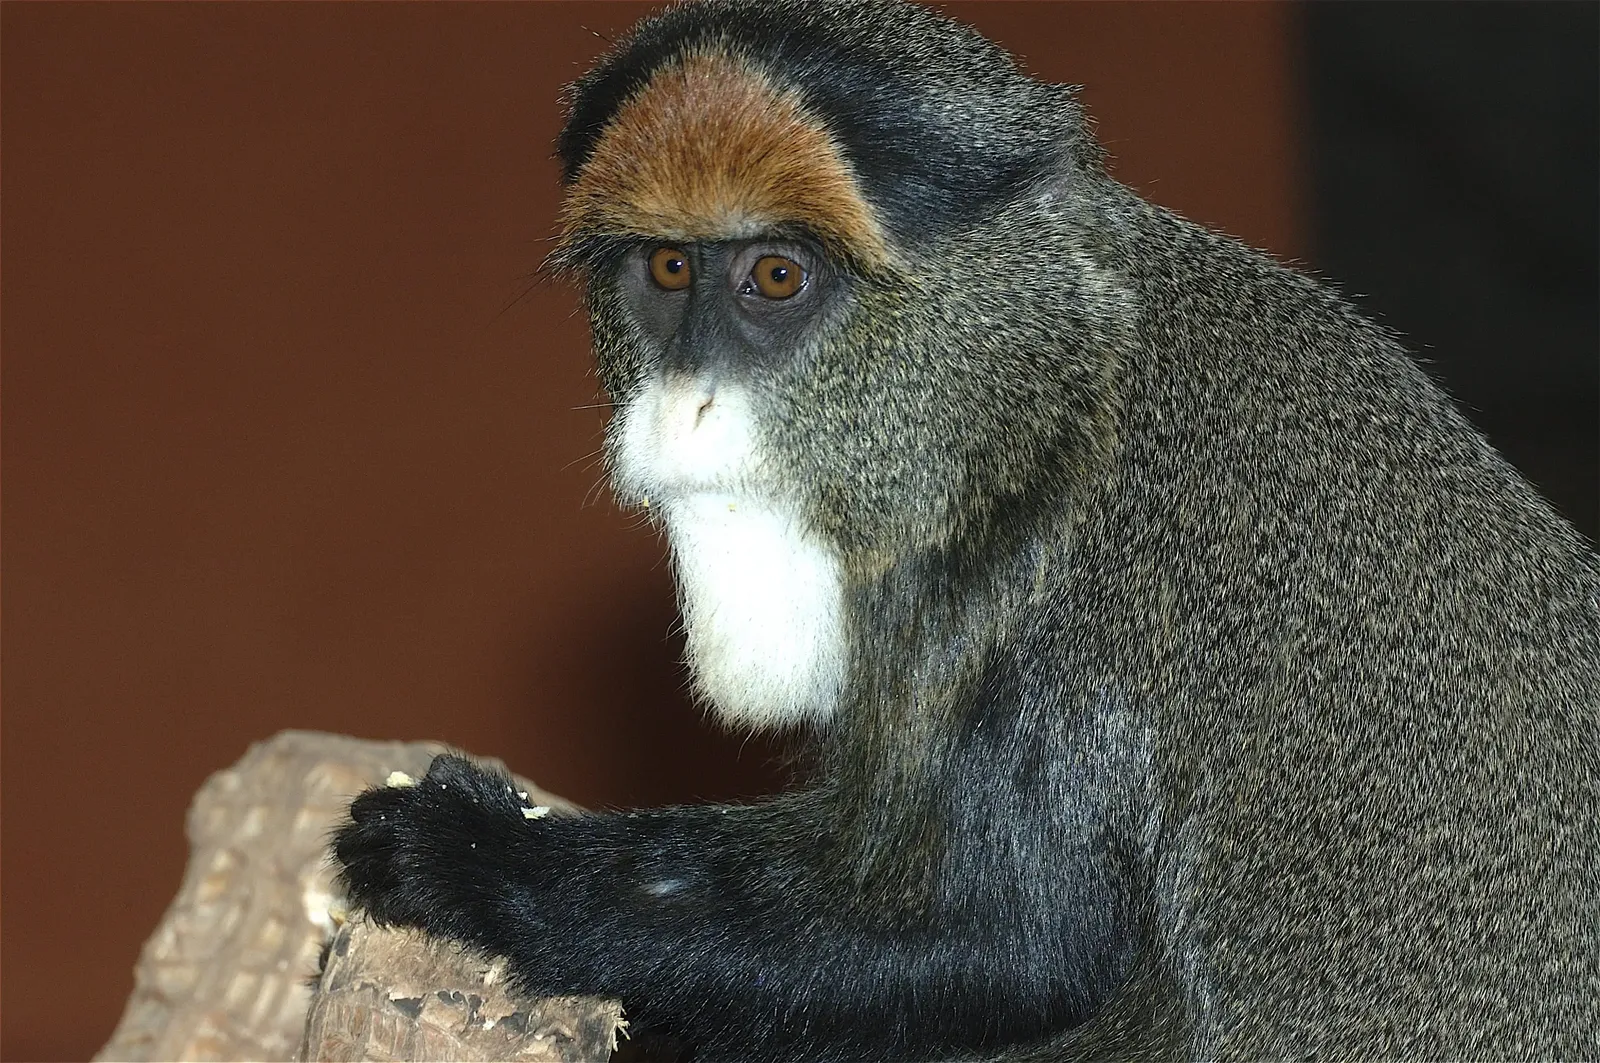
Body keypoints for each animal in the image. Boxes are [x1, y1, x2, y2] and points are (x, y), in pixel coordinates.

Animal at [332, 1, 1600, 1059]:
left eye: (777, 277)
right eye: (672, 266)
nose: (681, 403)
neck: (1048, 406)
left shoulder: (1075, 619)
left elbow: (1004, 948)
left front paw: (468, 861)